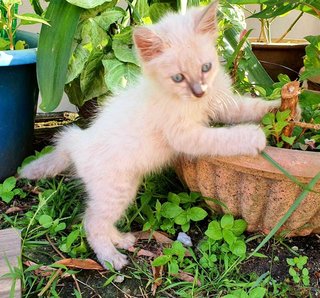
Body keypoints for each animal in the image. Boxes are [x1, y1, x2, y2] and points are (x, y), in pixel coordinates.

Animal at [20, 1, 280, 270]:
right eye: (178, 77)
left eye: (206, 68)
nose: (199, 92)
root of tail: (77, 141)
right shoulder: (185, 135)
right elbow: (221, 138)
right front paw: (253, 137)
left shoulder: (220, 104)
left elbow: (246, 107)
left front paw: (280, 105)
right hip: (117, 189)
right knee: (92, 222)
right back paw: (111, 258)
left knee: (100, 218)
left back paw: (121, 239)